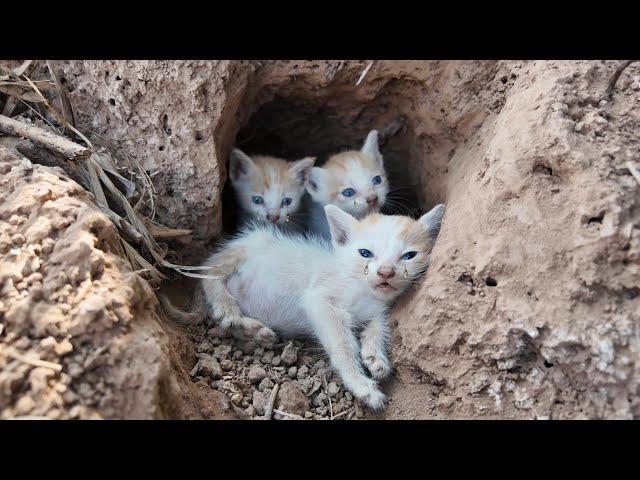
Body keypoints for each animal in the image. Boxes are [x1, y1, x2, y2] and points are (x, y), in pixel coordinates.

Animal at [199, 202, 444, 408]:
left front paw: (375, 357)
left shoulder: (377, 311)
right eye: (365, 253)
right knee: (210, 269)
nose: (386, 272)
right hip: (249, 244)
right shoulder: (318, 300)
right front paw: (360, 383)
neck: (364, 291)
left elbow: (378, 326)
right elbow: (342, 345)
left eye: (409, 255)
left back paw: (251, 330)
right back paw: (227, 309)